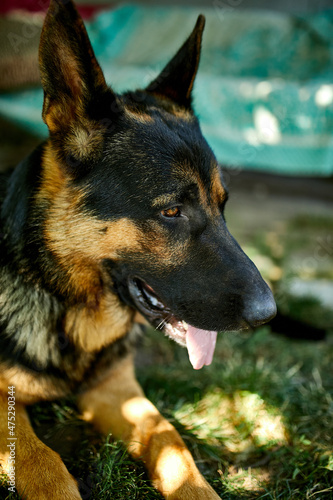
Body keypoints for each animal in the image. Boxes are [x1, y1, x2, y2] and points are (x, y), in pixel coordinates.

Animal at [0, 1, 274, 498]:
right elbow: (39, 460)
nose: (269, 314)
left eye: (223, 205)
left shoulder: (117, 390)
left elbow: (168, 437)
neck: (67, 307)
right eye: (172, 212)